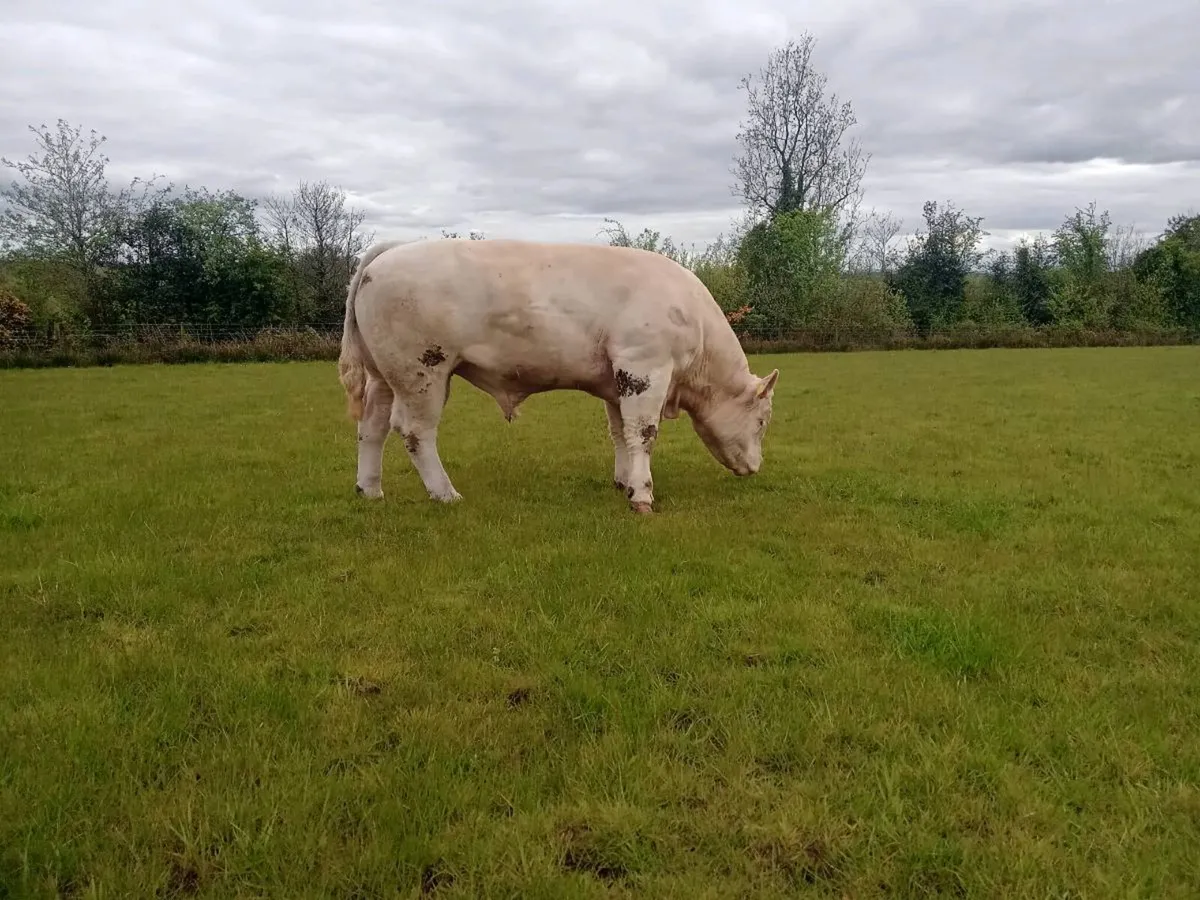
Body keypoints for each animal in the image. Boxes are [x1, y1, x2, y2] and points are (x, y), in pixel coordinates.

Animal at [337, 237, 779, 514]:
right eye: (763, 421)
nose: (755, 468)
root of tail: (390, 251)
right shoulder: (645, 368)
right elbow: (643, 433)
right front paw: (641, 495)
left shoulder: (617, 381)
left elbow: (620, 432)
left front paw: (622, 481)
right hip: (422, 372)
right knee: (415, 432)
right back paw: (445, 494)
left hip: (384, 376)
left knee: (371, 427)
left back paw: (369, 490)